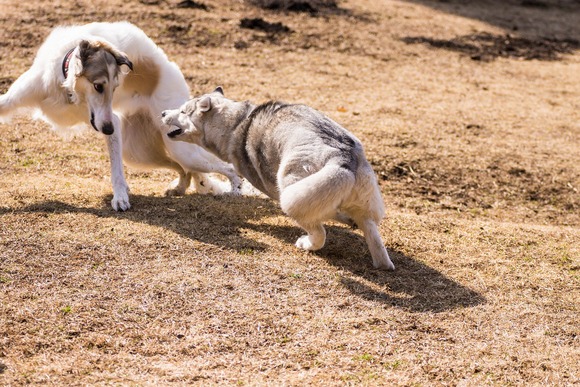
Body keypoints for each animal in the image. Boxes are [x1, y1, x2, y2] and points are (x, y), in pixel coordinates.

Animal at [0, 22, 240, 209]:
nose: (107, 130)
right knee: (185, 171)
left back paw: (235, 191)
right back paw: (178, 189)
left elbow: (116, 172)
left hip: (178, 149)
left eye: (115, 88)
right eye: (98, 86)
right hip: (139, 153)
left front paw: (120, 197)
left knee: (226, 167)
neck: (67, 90)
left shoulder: (110, 120)